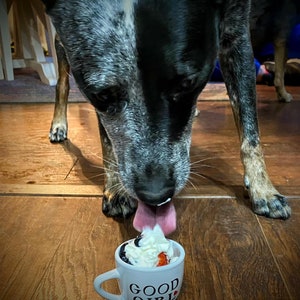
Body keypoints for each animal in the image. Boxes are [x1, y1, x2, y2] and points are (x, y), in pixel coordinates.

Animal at [42, 0, 290, 234]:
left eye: (186, 84)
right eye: (102, 95)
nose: (155, 194)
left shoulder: (237, 35)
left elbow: (250, 130)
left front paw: (263, 189)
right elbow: (107, 138)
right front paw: (116, 189)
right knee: (61, 83)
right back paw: (59, 124)